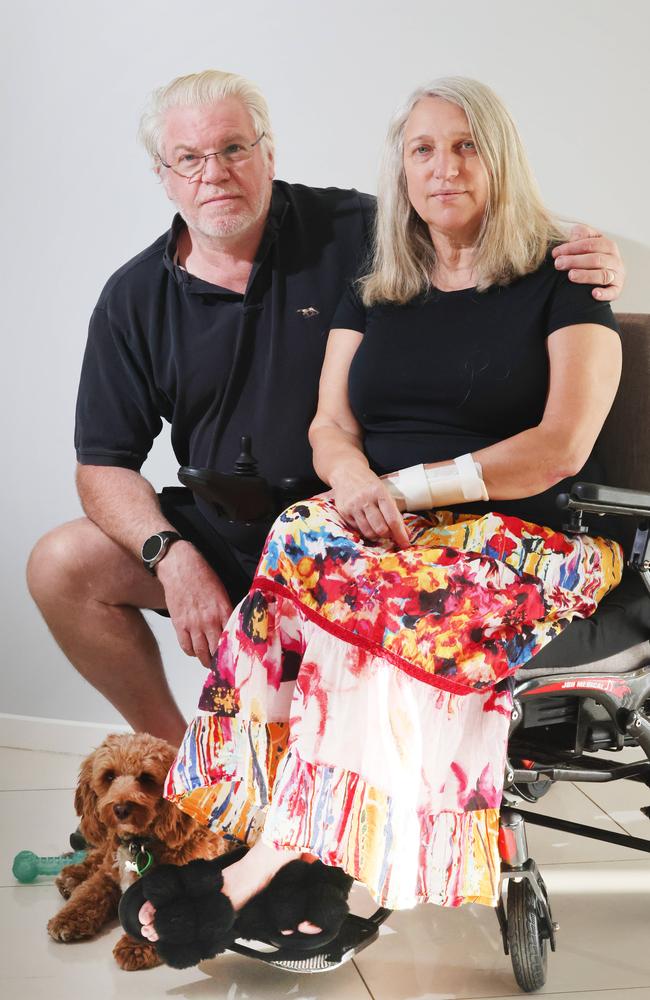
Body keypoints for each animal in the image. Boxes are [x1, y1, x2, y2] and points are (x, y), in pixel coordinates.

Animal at [46, 736, 228, 968]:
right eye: (109, 776)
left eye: (147, 778)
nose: (121, 809)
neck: (139, 843)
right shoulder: (108, 876)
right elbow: (89, 893)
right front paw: (68, 918)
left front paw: (135, 946)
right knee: (97, 857)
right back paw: (72, 875)